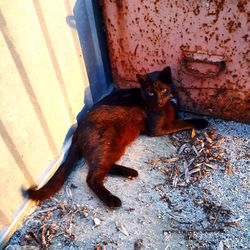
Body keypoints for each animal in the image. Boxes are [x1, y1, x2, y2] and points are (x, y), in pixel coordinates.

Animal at [25, 66, 209, 207]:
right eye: (150, 93)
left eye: (164, 90)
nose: (158, 100)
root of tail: (76, 131)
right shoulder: (156, 128)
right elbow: (182, 122)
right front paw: (201, 121)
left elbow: (180, 118)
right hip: (108, 142)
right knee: (92, 177)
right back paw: (112, 200)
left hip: (117, 144)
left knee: (102, 166)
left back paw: (130, 172)